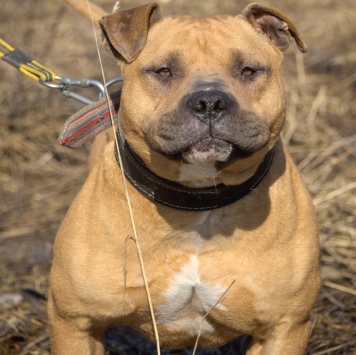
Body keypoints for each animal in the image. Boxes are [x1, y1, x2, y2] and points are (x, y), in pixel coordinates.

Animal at [48, 1, 320, 354]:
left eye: (248, 70)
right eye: (164, 71)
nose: (209, 102)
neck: (198, 203)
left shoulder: (284, 328)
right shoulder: (75, 322)